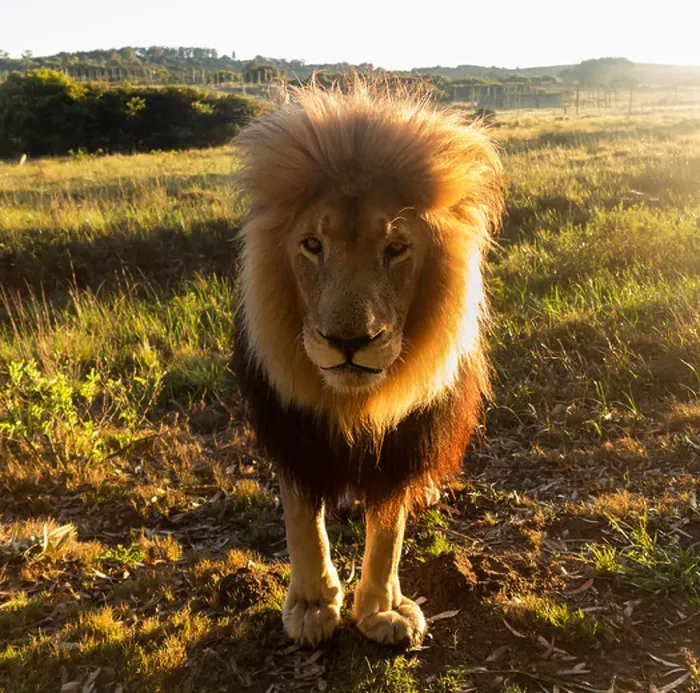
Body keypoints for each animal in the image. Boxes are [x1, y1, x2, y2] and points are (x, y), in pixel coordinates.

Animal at [232, 83, 504, 648]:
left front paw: (382, 610)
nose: (349, 342)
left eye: (396, 248)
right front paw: (312, 604)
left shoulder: (406, 435)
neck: (353, 401)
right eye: (312, 245)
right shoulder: (293, 426)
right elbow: (302, 521)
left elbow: (389, 528)